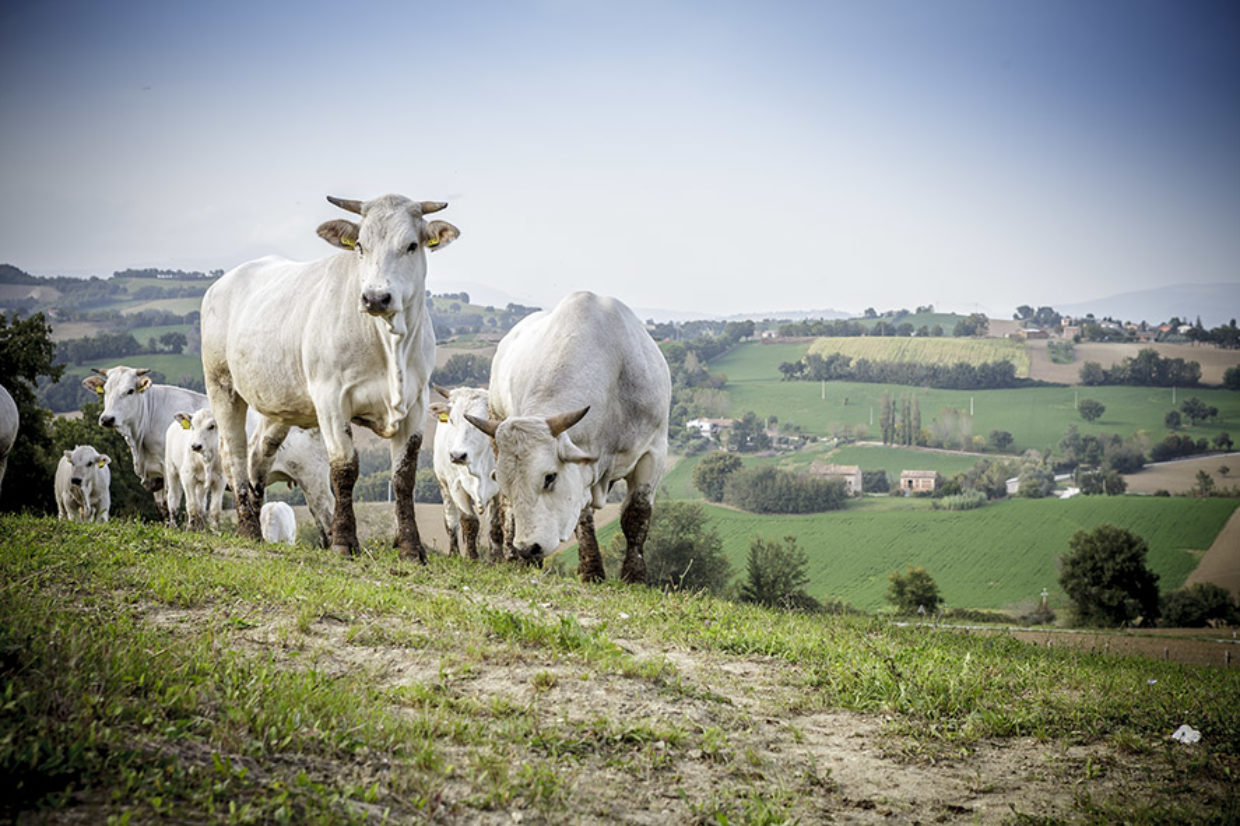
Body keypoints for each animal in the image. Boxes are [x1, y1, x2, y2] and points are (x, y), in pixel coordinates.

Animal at [83, 364, 337, 543]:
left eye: (129, 391)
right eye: (105, 391)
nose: (106, 418)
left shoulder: (170, 469)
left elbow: (179, 502)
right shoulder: (157, 475)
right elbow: (164, 507)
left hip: (314, 479)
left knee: (326, 514)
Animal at [200, 190, 458, 560]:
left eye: (411, 245)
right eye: (360, 245)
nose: (376, 297)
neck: (388, 342)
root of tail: (225, 281)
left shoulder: (417, 402)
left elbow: (403, 476)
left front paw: (411, 547)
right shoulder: (331, 398)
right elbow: (344, 468)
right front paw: (343, 541)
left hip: (279, 404)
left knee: (257, 454)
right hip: (222, 385)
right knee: (233, 453)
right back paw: (248, 529)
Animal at [431, 381, 498, 555]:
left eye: (480, 423)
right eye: (452, 420)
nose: (457, 455)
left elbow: (496, 525)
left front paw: (497, 557)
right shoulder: (456, 485)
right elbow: (469, 521)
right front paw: (471, 556)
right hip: (444, 484)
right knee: (451, 522)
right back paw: (453, 553)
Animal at [466, 292, 679, 582]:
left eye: (549, 477)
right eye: (502, 480)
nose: (527, 548)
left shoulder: (653, 452)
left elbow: (637, 514)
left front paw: (634, 575)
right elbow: (583, 518)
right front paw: (592, 570)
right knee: (506, 509)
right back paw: (512, 557)